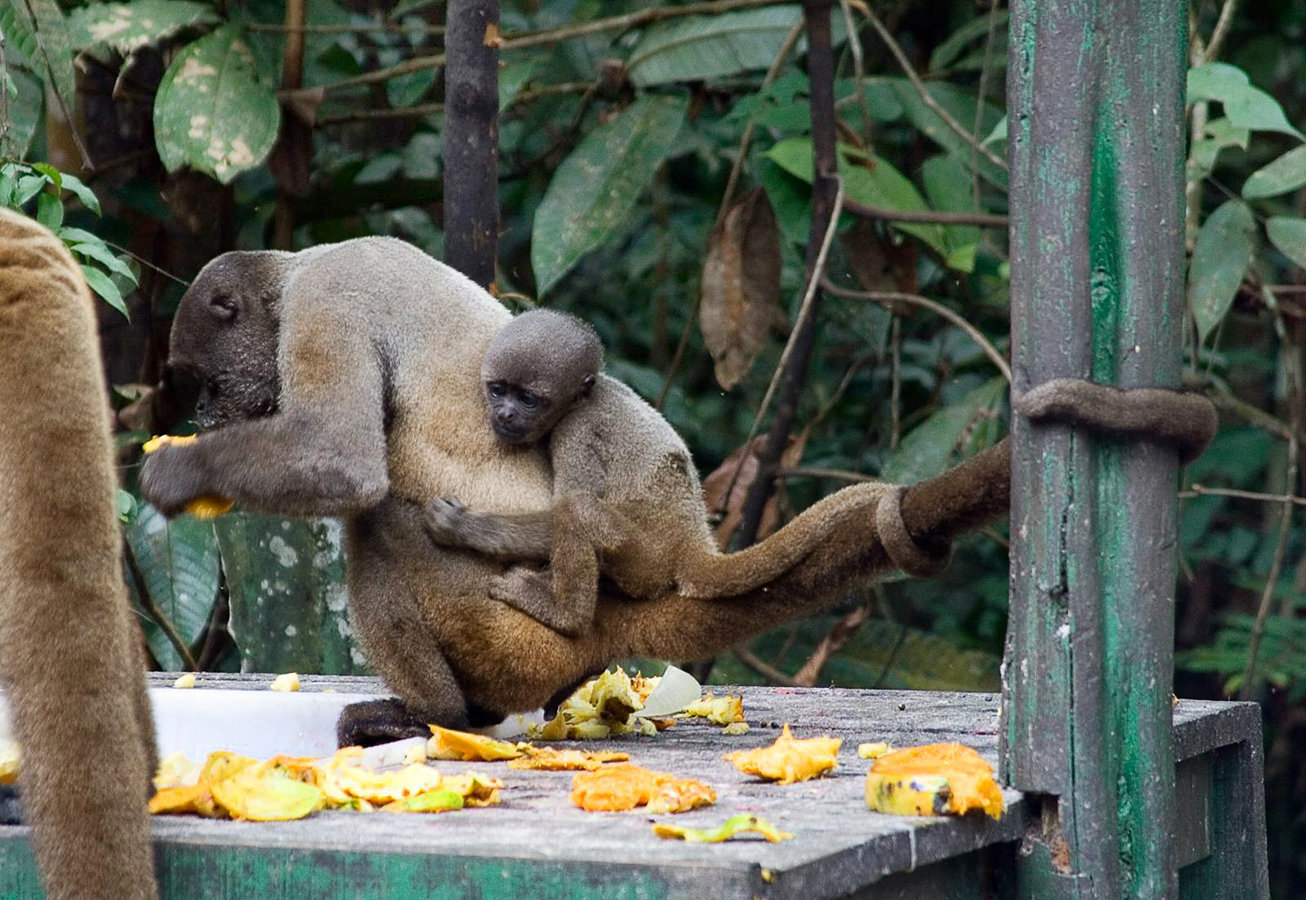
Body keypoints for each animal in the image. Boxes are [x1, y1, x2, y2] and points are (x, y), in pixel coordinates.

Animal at [423, 308, 901, 638]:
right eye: (498, 390)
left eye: (528, 399)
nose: (504, 413)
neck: (582, 400)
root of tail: (692, 537)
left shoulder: (577, 433)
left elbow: (563, 508)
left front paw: (463, 526)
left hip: (644, 560)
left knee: (578, 509)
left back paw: (565, 615)